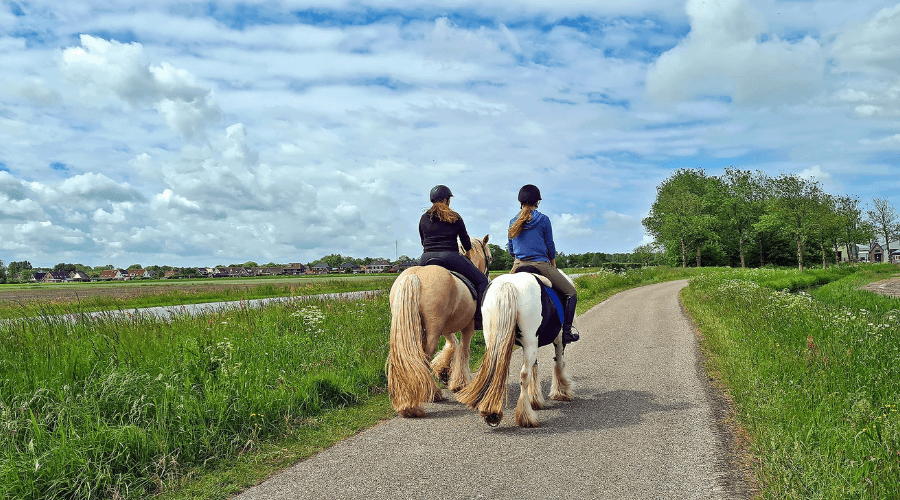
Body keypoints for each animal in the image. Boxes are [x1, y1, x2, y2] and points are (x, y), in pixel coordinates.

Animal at [387, 235, 492, 418]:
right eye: (490, 258)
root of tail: (414, 276)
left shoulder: (445, 328)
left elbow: (453, 345)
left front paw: (443, 371)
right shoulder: (469, 326)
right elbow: (464, 350)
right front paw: (461, 383)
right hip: (432, 331)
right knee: (422, 357)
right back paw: (428, 396)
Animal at [455, 269, 576, 427]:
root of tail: (507, 284)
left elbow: (537, 366)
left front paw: (536, 399)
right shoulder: (559, 339)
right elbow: (559, 363)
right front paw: (562, 392)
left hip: (494, 340)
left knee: (493, 368)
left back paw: (491, 411)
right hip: (531, 342)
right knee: (524, 375)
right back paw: (526, 416)